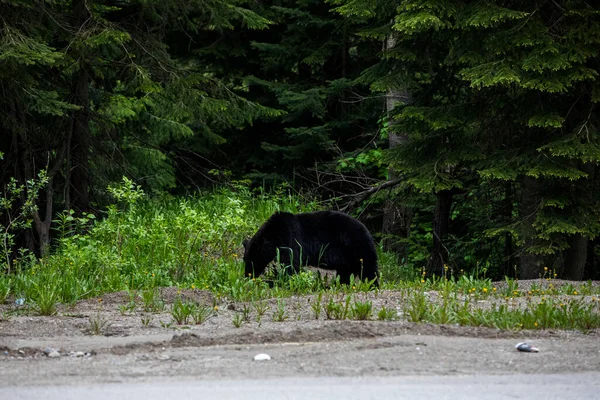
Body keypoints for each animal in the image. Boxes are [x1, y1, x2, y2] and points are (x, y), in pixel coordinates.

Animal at [241, 211, 378, 286]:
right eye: (244, 259)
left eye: (251, 259)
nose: (247, 275)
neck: (274, 234)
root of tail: (369, 233)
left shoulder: (290, 238)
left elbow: (291, 264)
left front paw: (277, 281)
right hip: (347, 258)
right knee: (345, 273)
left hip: (358, 249)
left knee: (369, 270)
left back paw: (373, 285)